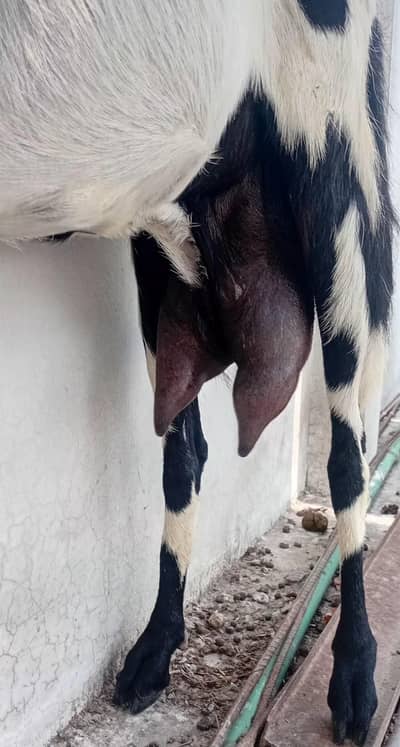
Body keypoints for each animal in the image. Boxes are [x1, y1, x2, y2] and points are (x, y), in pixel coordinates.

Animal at [0, 2, 393, 745]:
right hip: (160, 259)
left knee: (349, 452)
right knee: (185, 447)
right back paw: (152, 655)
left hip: (336, 158)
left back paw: (355, 678)